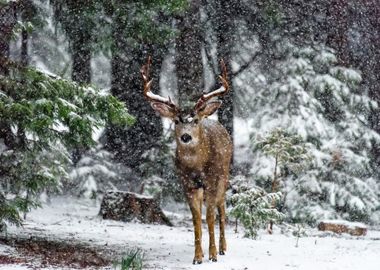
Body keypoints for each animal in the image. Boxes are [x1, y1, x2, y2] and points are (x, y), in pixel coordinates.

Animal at [141, 57, 233, 264]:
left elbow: (210, 217)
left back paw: (223, 248)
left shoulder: (212, 181)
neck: (197, 166)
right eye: (176, 121)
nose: (185, 137)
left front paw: (213, 254)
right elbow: (196, 219)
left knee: (222, 210)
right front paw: (198, 257)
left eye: (196, 120)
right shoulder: (187, 184)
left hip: (224, 177)